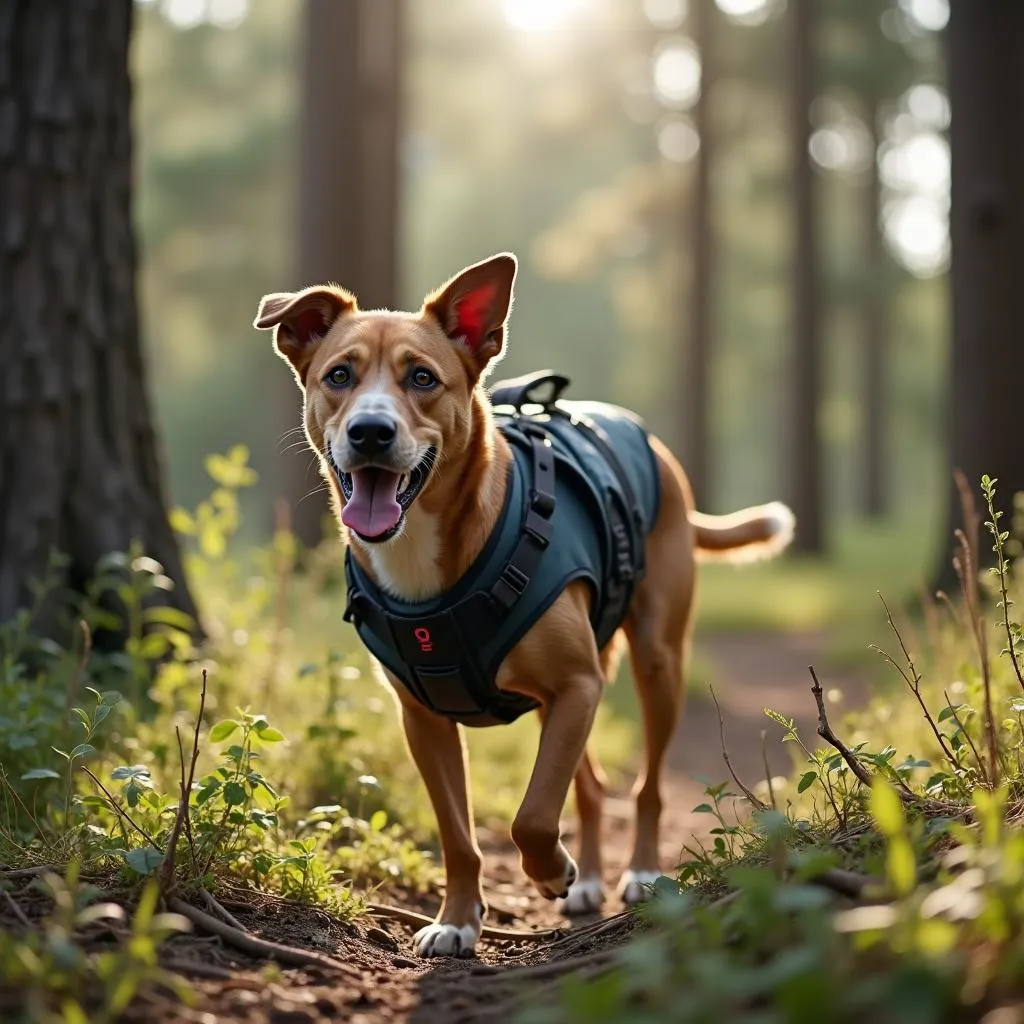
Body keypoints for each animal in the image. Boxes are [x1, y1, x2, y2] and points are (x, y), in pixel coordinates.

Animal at [253, 251, 790, 954]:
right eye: (338, 375)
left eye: (422, 378)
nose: (371, 432)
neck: (425, 560)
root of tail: (649, 441)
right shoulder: (425, 719)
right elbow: (459, 834)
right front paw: (457, 919)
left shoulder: (576, 684)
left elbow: (532, 815)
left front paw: (550, 870)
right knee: (590, 787)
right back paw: (591, 879)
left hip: (656, 659)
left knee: (644, 785)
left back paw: (639, 873)